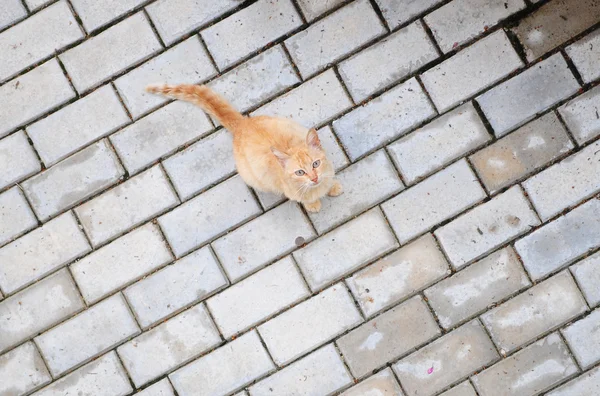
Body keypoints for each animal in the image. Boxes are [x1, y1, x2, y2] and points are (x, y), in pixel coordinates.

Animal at [145, 83, 342, 212]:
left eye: (316, 164)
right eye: (300, 172)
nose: (314, 178)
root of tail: (242, 124)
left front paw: (332, 187)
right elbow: (303, 198)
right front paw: (313, 204)